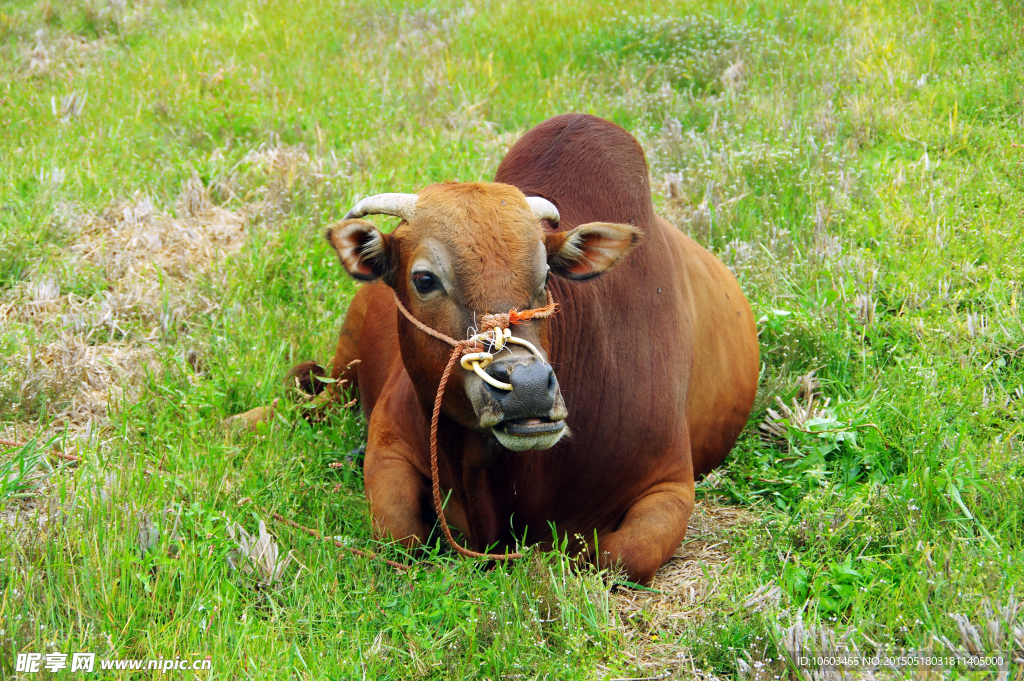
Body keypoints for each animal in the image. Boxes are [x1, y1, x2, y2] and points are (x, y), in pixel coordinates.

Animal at [321, 114, 761, 581]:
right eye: (424, 279)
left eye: (547, 274)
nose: (528, 387)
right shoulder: (389, 445)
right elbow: (402, 534)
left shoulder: (672, 482)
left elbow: (623, 556)